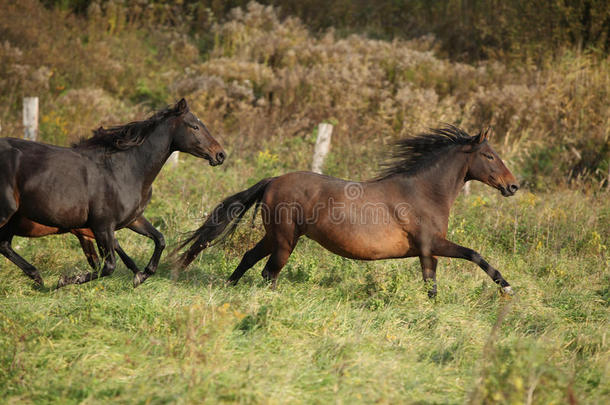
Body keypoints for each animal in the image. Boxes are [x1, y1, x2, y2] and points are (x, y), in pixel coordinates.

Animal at [0, 98, 223, 288]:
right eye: (194, 126)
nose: (220, 154)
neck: (124, 169)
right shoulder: (101, 226)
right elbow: (108, 266)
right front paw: (63, 281)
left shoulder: (133, 219)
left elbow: (159, 239)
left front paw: (142, 275)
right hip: (6, 214)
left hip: (13, 219)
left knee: (4, 244)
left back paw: (36, 276)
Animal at [177, 125, 516, 296]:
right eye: (489, 155)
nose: (512, 186)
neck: (423, 192)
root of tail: (273, 180)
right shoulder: (432, 243)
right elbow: (474, 254)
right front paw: (508, 288)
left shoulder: (426, 251)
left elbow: (430, 285)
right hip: (286, 239)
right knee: (269, 271)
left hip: (275, 236)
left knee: (249, 259)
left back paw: (227, 288)